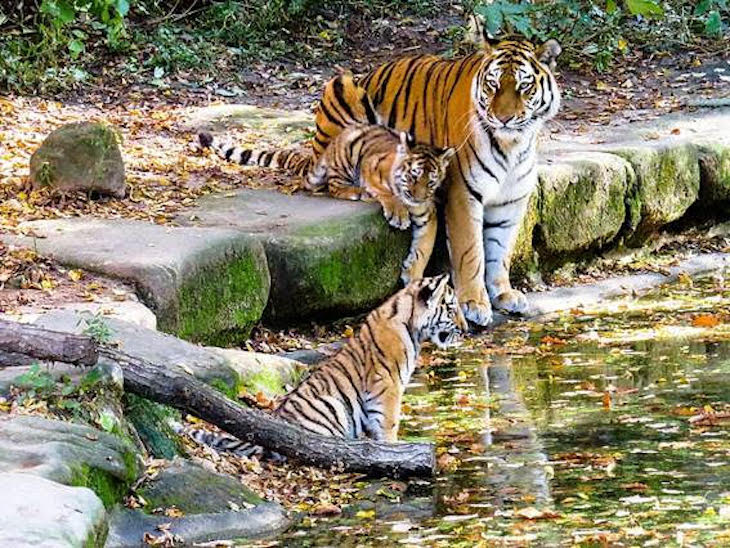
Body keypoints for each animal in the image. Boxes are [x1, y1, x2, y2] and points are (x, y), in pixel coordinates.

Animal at [181, 274, 467, 455]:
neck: (412, 326)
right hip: (332, 408)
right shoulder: (388, 385)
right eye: (452, 309)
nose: (468, 329)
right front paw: (394, 449)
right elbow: (389, 422)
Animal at [311, 35, 562, 327]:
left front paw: (503, 293)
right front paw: (474, 303)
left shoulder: (511, 201)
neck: (514, 144)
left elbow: (501, 249)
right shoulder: (463, 193)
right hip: (341, 88)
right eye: (493, 85)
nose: (503, 119)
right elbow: (471, 251)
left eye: (524, 86)